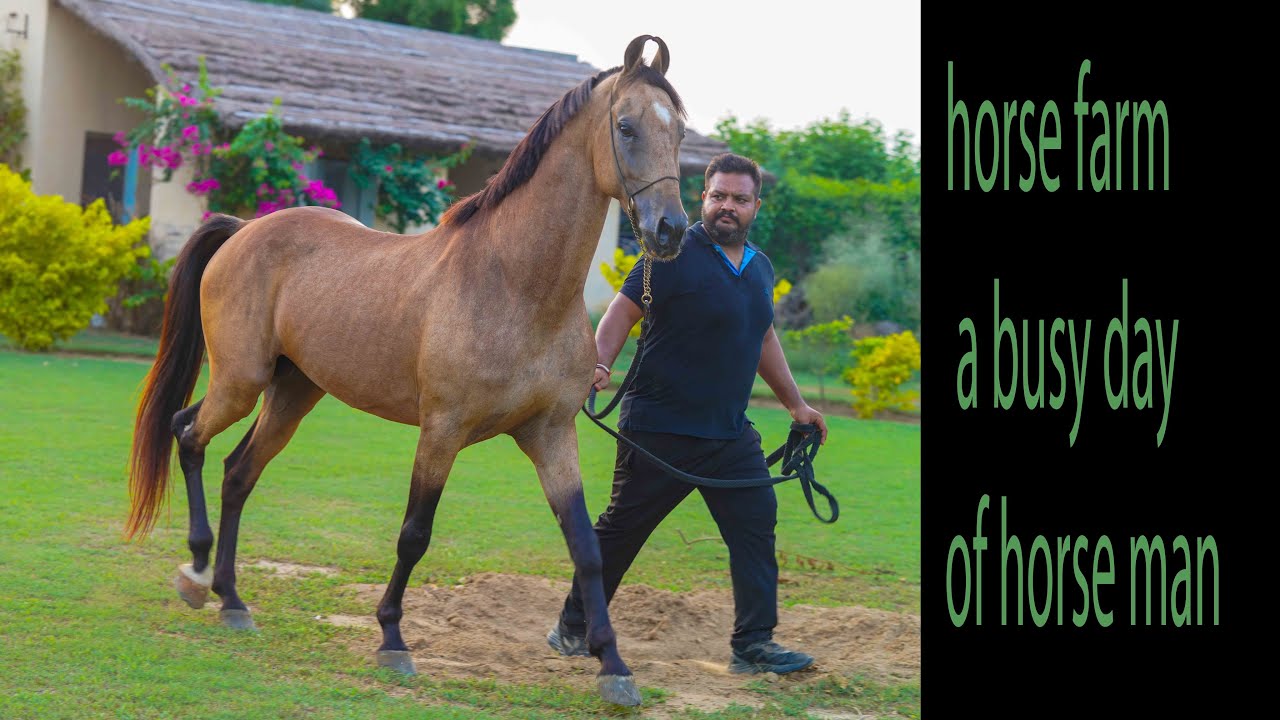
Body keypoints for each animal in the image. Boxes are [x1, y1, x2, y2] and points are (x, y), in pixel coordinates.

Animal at [124, 34, 690, 707]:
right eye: (626, 126)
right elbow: (414, 533)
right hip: (240, 383)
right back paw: (196, 572)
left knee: (238, 474)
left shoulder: (551, 435)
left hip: (293, 394)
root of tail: (244, 230)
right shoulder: (442, 430)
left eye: (680, 130)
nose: (671, 230)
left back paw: (233, 600)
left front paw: (613, 665)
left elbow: (587, 547)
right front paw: (392, 639)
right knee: (188, 435)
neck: (514, 284)